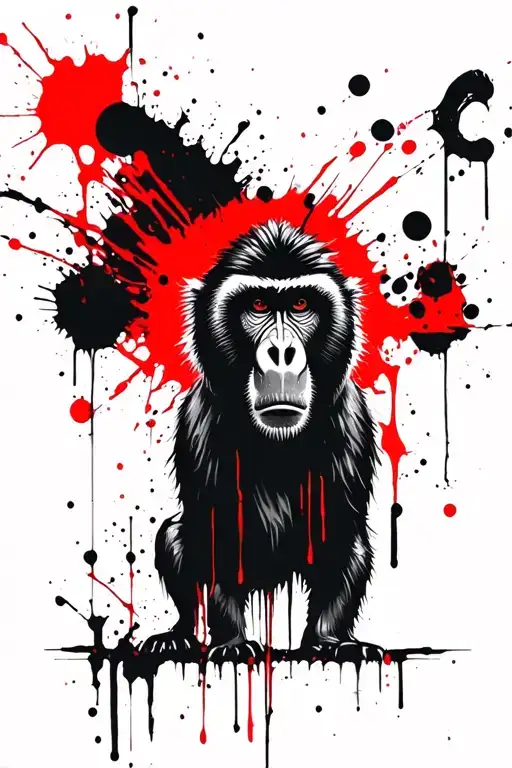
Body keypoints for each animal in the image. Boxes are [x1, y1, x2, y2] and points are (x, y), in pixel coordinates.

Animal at [141, 219, 379, 662]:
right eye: (257, 306)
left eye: (301, 305)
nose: (282, 352)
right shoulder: (201, 424)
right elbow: (216, 534)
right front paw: (232, 642)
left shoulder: (352, 422)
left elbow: (340, 535)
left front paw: (329, 641)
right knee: (174, 535)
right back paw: (179, 634)